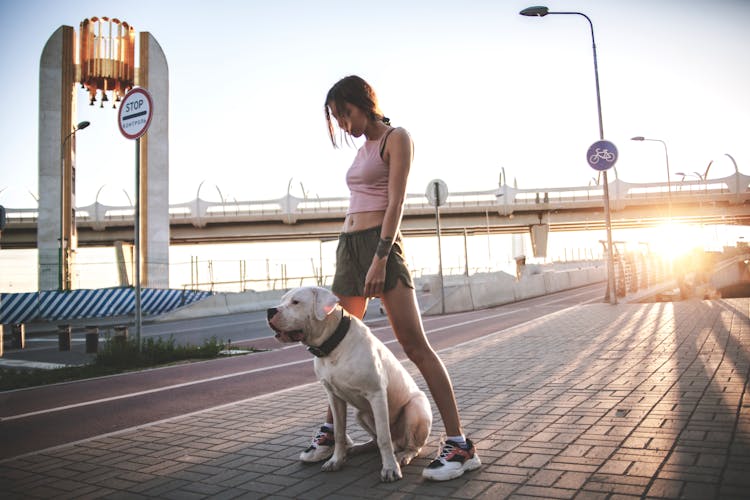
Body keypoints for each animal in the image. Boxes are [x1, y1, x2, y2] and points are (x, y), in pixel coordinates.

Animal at [268, 288, 432, 482]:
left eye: (296, 302)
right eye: (282, 300)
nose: (270, 310)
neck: (333, 346)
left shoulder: (377, 394)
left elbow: (384, 437)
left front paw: (390, 468)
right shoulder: (334, 397)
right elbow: (339, 432)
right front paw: (336, 460)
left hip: (416, 407)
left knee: (410, 445)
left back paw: (403, 456)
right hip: (360, 414)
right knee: (376, 439)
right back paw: (358, 448)